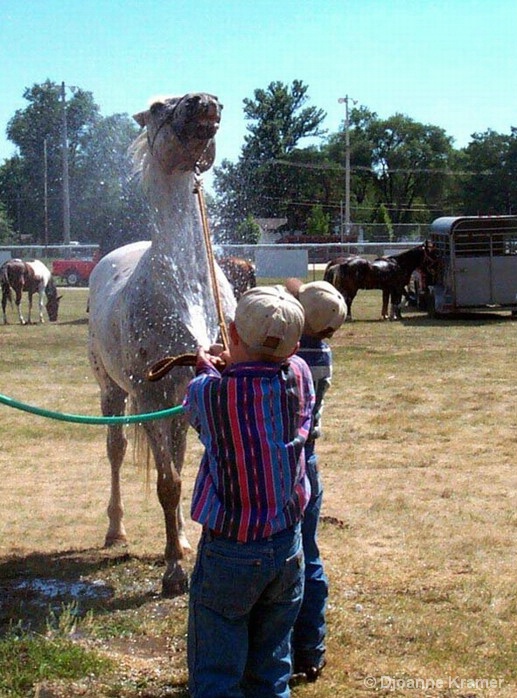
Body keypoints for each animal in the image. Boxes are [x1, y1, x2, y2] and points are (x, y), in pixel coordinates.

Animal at [87, 91, 236, 592]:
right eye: (156, 107)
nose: (205, 101)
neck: (181, 286)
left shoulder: (194, 392)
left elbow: (185, 471)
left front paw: (184, 547)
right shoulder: (149, 395)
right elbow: (167, 484)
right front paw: (173, 572)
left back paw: (183, 538)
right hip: (113, 392)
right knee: (114, 451)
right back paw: (116, 530)